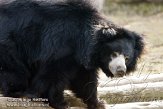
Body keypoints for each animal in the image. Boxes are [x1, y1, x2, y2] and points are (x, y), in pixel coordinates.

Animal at [0, 0, 144, 109]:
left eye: (127, 58)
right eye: (113, 54)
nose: (121, 71)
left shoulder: (80, 59)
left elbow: (84, 79)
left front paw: (98, 103)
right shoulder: (60, 47)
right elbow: (52, 75)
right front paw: (60, 103)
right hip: (9, 44)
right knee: (14, 70)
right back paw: (18, 92)